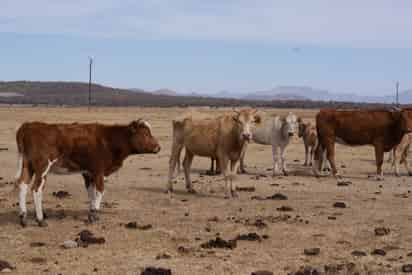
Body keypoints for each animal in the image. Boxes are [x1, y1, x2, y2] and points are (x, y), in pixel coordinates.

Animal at [14, 119, 160, 227]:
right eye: (145, 134)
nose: (158, 147)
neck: (109, 140)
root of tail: (28, 126)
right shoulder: (99, 171)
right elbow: (100, 191)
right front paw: (95, 214)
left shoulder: (88, 173)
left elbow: (91, 192)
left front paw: (91, 212)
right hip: (42, 167)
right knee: (36, 189)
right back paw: (40, 220)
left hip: (27, 165)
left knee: (22, 185)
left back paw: (23, 217)